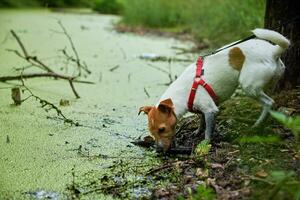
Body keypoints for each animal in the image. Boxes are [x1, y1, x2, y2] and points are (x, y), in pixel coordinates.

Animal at [139, 28, 290, 152]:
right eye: (152, 132)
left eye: (162, 129)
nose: (158, 150)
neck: (184, 92)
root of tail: (273, 51)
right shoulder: (204, 109)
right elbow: (202, 121)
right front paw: (198, 131)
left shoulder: (210, 110)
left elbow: (208, 129)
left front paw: (205, 142)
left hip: (249, 86)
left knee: (269, 102)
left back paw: (257, 124)